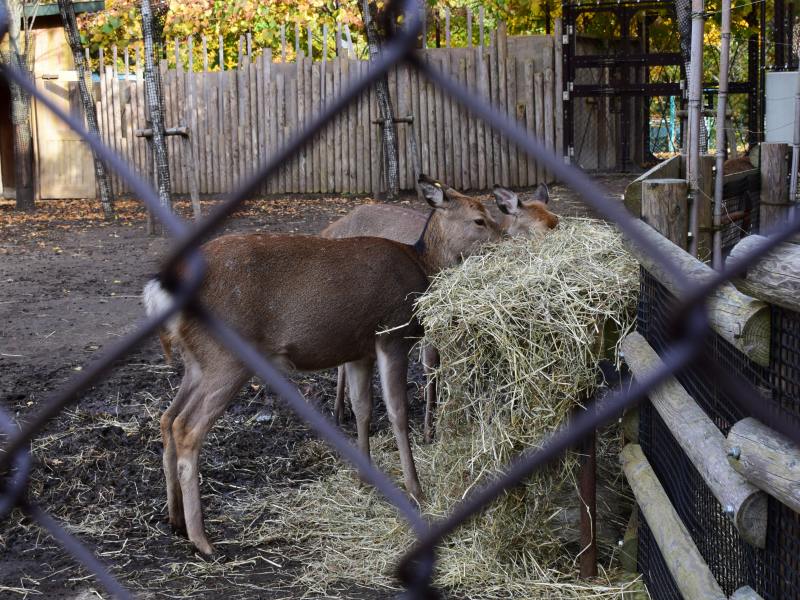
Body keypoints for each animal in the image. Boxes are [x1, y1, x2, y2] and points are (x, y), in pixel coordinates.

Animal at [143, 175, 504, 555]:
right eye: (479, 219)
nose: (506, 240)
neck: (422, 264)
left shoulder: (360, 350)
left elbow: (363, 408)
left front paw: (364, 480)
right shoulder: (391, 333)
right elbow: (397, 412)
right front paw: (416, 490)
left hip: (197, 361)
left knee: (167, 418)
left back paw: (175, 520)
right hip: (227, 356)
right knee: (187, 427)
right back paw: (203, 540)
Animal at [322, 177, 559, 442]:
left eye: (557, 221)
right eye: (538, 230)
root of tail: (328, 229)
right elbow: (431, 365)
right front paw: (429, 431)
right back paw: (339, 411)